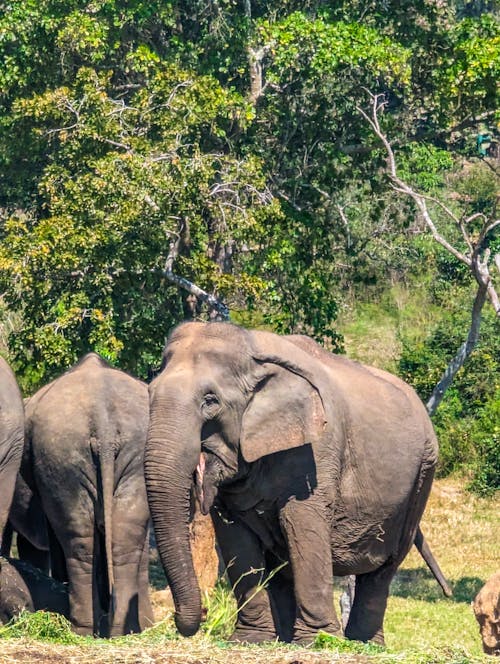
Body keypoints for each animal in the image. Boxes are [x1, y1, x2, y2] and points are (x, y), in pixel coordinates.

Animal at [24, 352, 153, 640]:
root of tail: (103, 420)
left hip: (61, 458)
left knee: (78, 541)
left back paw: (82, 630)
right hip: (124, 455)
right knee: (123, 540)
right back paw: (120, 630)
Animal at [145, 322, 442, 644]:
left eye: (210, 401)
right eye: (149, 393)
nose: (199, 616)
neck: (254, 350)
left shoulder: (316, 450)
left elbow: (301, 523)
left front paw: (318, 640)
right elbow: (235, 536)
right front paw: (251, 639)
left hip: (423, 475)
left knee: (384, 567)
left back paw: (362, 642)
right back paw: (288, 637)